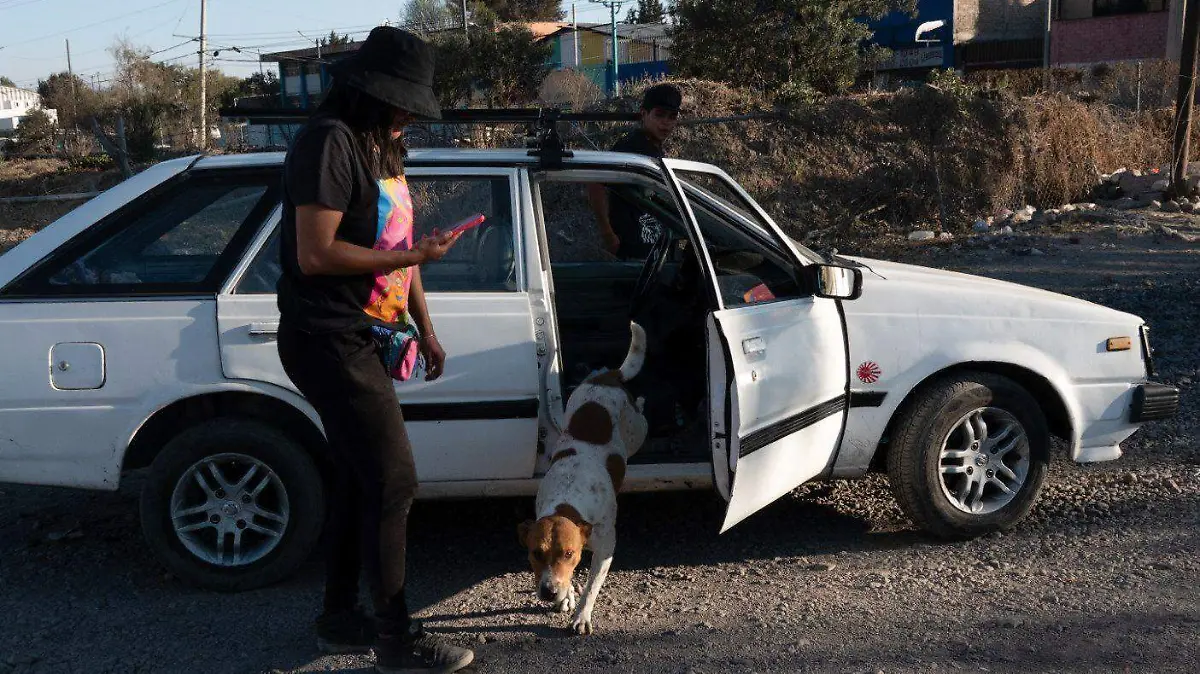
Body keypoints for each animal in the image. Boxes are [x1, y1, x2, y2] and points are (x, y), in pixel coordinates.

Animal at [516, 321, 648, 633]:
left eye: (567, 553)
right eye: (535, 553)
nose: (548, 591)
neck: (568, 500)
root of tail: (606, 377)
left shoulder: (605, 547)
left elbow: (592, 586)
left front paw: (581, 615)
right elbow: (573, 578)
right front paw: (566, 597)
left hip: (638, 430)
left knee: (641, 417)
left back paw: (641, 400)